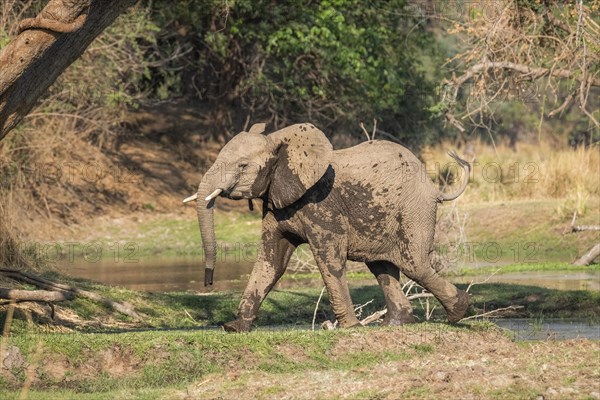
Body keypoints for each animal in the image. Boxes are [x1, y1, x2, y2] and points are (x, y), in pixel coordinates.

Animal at [185, 122, 472, 332]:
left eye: (243, 166)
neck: (281, 143)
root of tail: (434, 189)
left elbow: (328, 259)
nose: (208, 281)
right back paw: (395, 324)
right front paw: (235, 328)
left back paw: (458, 312)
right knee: (383, 267)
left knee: (414, 264)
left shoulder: (321, 203)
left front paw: (350, 328)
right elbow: (270, 261)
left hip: (414, 210)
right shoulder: (276, 201)